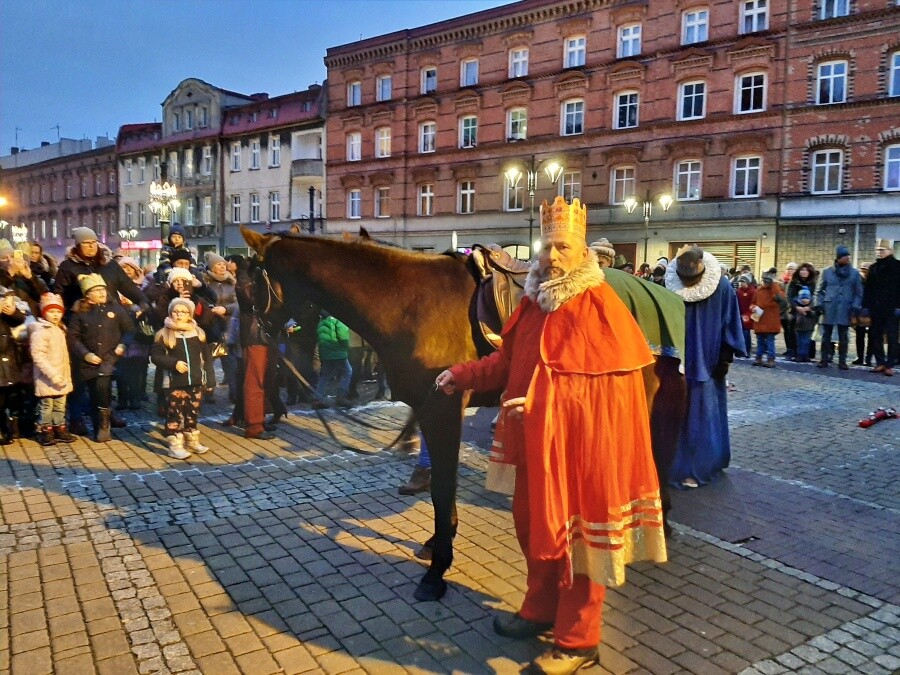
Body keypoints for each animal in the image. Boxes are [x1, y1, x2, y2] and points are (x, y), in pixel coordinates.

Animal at [243, 227, 684, 604]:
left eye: (249, 284)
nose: (253, 336)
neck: (406, 301)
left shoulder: (443, 407)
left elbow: (443, 488)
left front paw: (437, 569)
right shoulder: (427, 404)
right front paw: (434, 545)